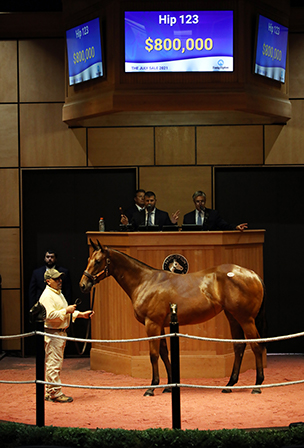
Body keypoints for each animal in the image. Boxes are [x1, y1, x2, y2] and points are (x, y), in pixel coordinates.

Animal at [79, 240, 264, 398]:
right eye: (88, 259)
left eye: (97, 261)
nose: (83, 285)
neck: (145, 282)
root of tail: (253, 274)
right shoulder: (160, 325)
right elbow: (164, 353)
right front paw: (168, 386)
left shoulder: (152, 324)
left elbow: (153, 354)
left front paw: (152, 387)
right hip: (233, 317)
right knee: (239, 346)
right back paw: (230, 385)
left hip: (246, 319)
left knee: (256, 345)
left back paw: (257, 385)